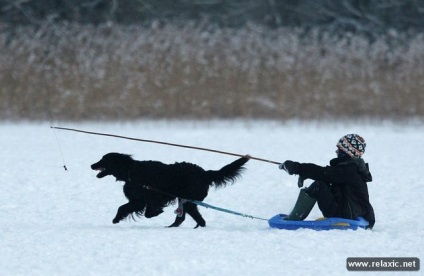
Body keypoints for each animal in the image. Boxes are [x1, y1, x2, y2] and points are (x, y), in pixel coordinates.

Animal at [90, 152, 248, 227]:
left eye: (104, 159)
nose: (92, 165)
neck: (130, 171)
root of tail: (205, 173)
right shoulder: (139, 200)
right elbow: (124, 208)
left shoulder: (143, 199)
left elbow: (130, 209)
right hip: (186, 201)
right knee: (190, 219)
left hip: (188, 201)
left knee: (193, 219)